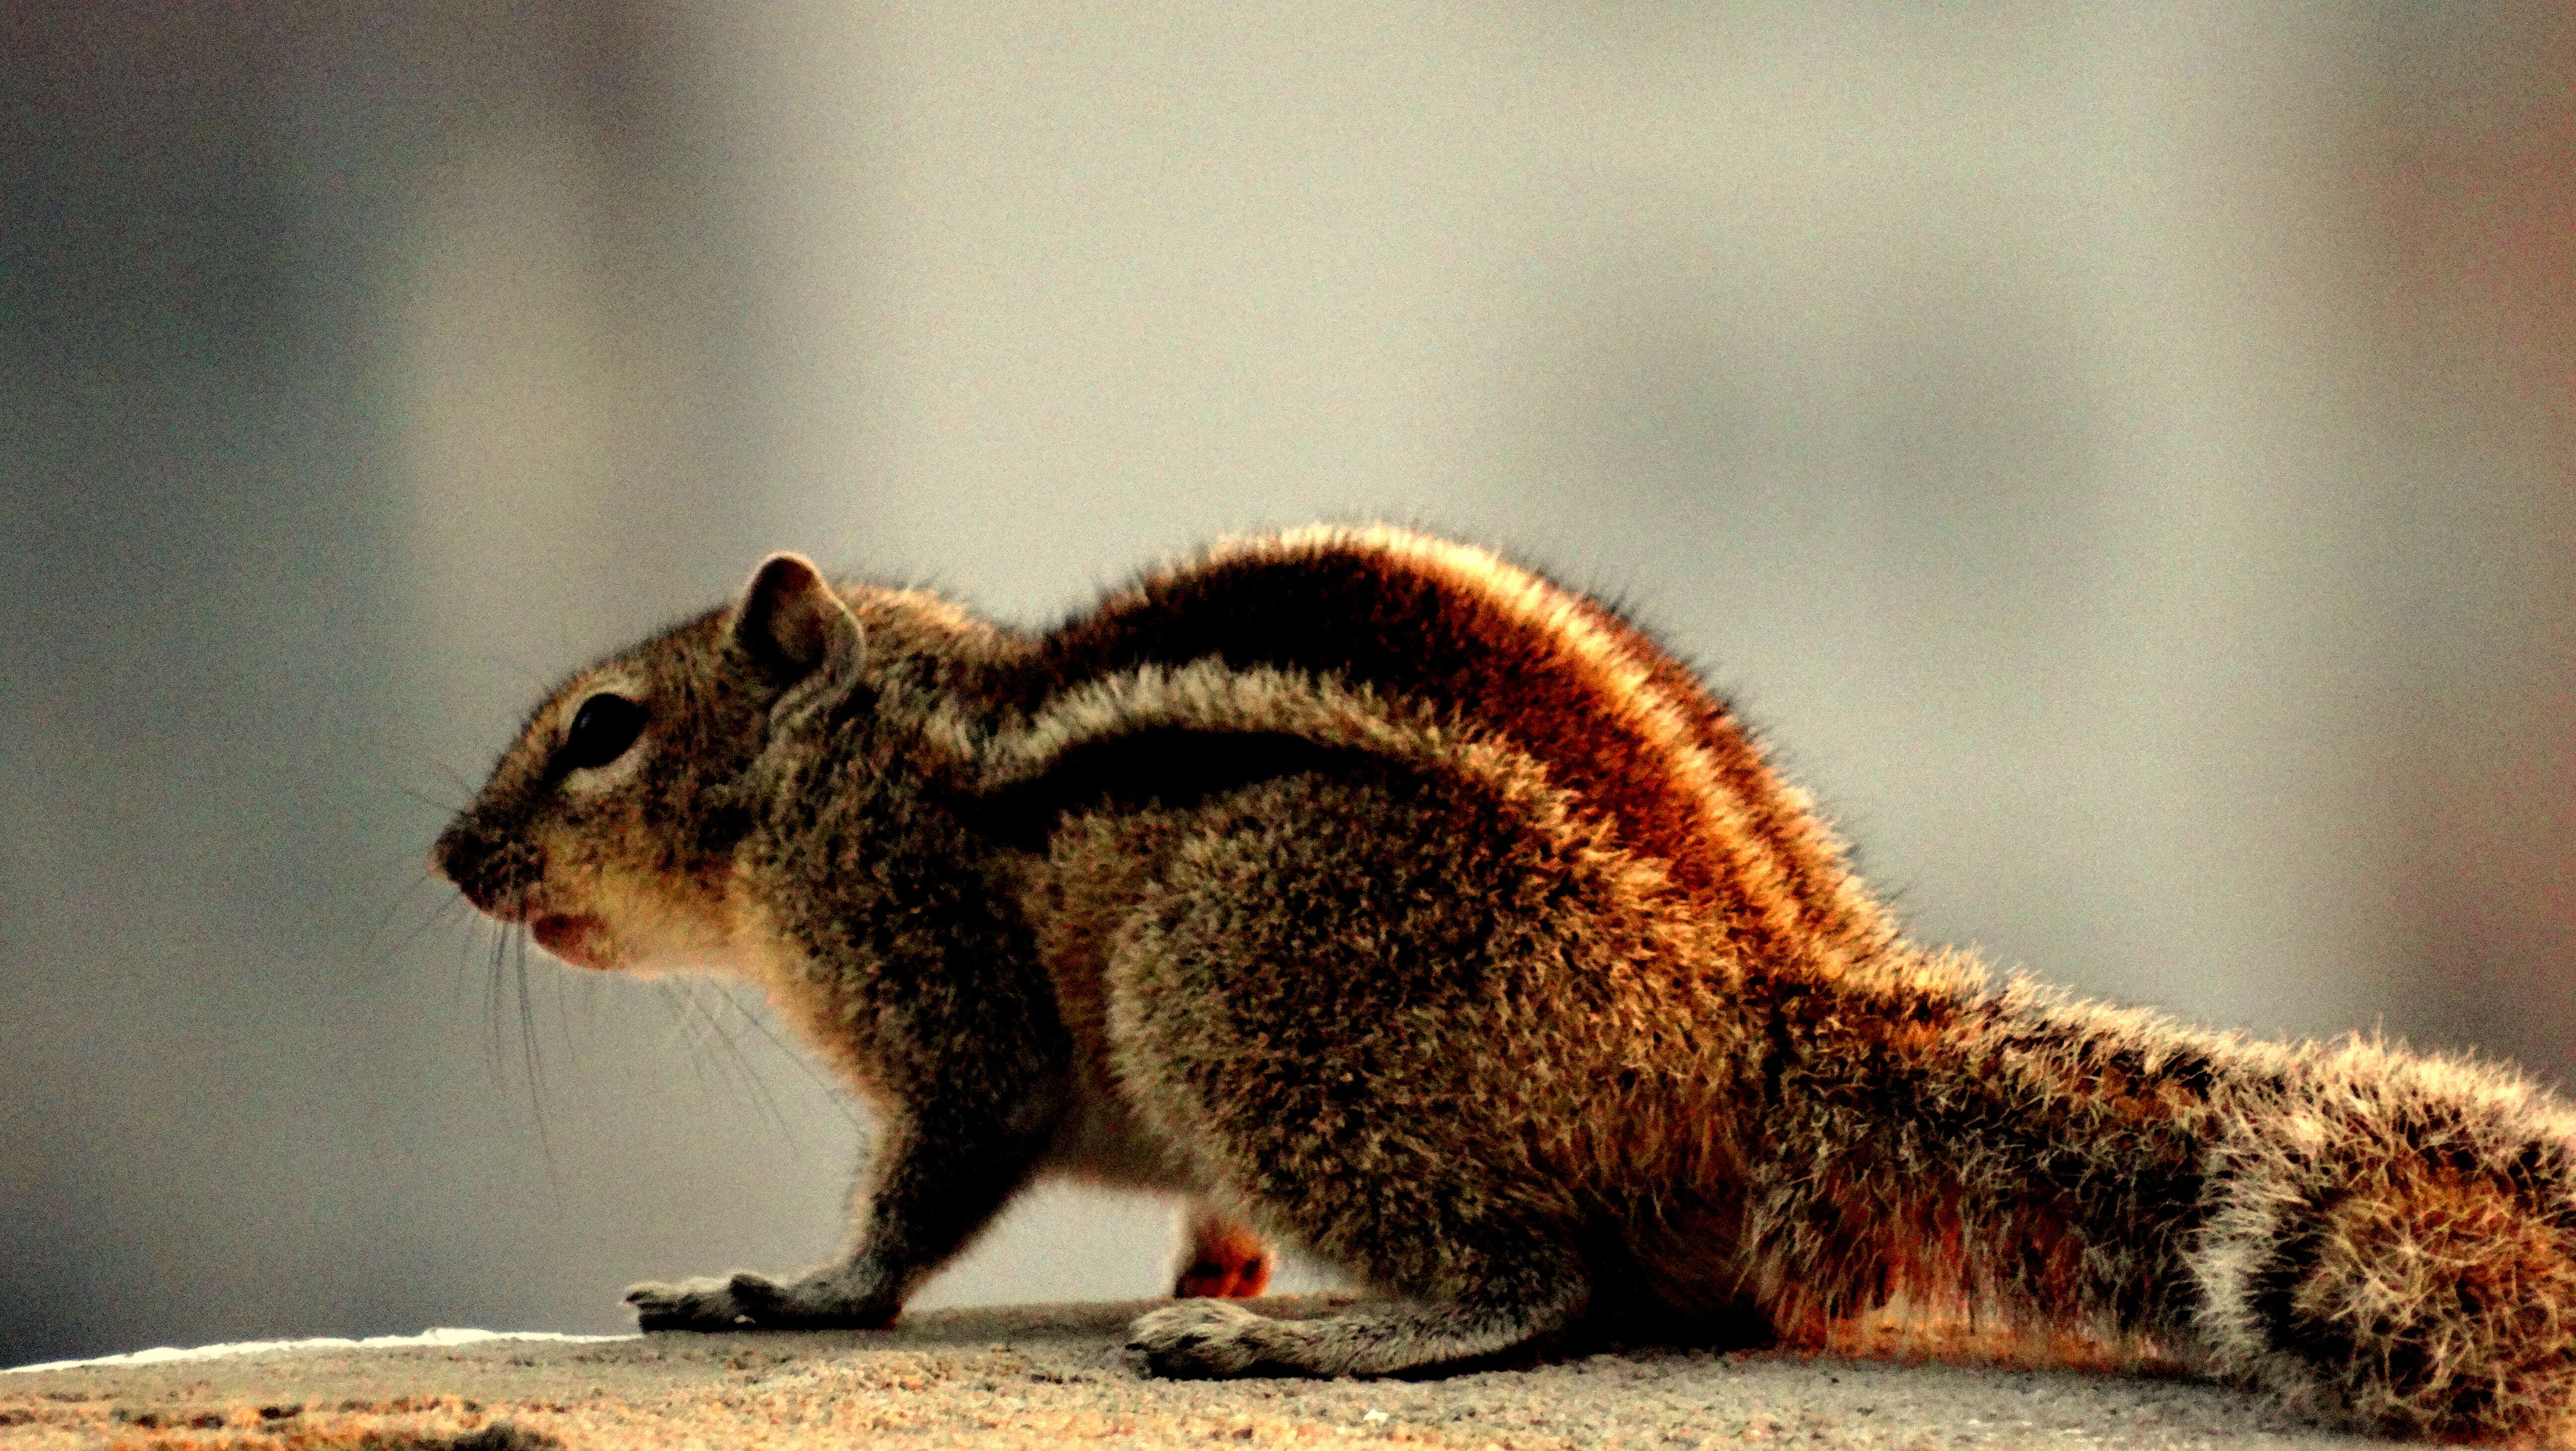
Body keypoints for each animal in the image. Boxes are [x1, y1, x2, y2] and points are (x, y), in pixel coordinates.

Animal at [432, 526, 2576, 1443]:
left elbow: (930, 1178)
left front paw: (782, 1292)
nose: (451, 856)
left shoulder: (926, 964)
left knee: (1529, 1281)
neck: (879, 752)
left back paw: (1308, 1339)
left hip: (1242, 964)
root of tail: (1774, 1001)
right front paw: (1213, 1266)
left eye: (604, 729)